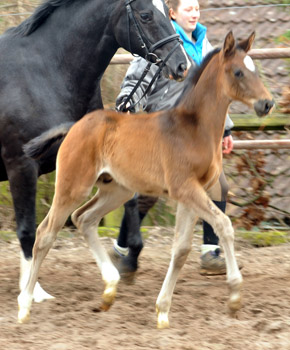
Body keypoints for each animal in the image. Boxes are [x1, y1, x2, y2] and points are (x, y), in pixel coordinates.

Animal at [0, 0, 186, 300]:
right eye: (146, 15)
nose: (181, 64)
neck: (46, 73)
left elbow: (130, 200)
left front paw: (129, 257)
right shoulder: (21, 165)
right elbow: (27, 229)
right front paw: (32, 290)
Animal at [18, 30, 274, 328]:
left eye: (253, 69)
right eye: (238, 72)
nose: (267, 104)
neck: (194, 128)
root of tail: (74, 126)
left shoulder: (191, 194)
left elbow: (181, 249)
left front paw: (162, 311)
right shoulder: (185, 189)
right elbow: (224, 224)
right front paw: (234, 297)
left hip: (117, 190)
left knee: (83, 218)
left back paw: (109, 288)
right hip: (73, 186)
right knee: (45, 233)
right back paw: (25, 305)